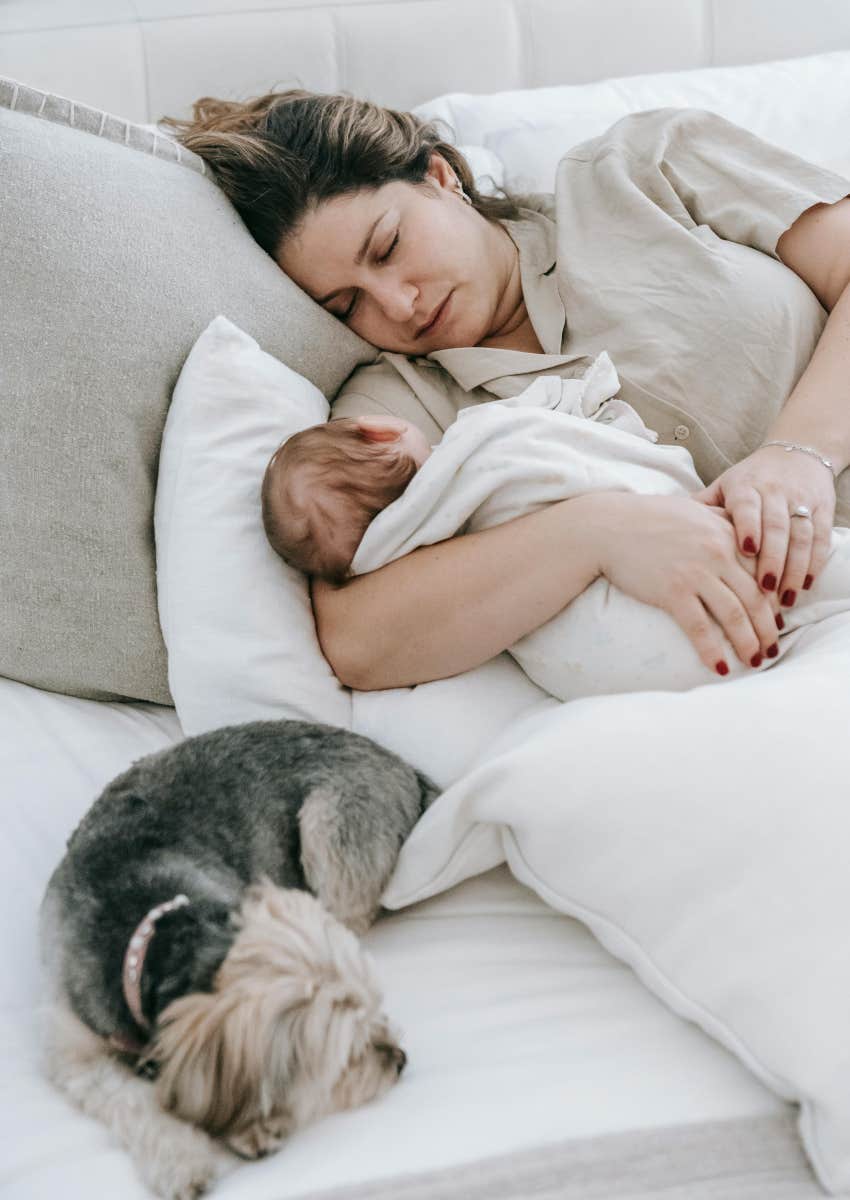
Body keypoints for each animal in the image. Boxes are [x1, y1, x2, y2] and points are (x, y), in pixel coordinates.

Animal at [39, 715, 439, 1195]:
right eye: (336, 1050)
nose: (399, 1060)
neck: (154, 938)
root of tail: (402, 764)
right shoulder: (73, 1052)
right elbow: (130, 1100)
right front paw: (181, 1161)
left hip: (328, 828)